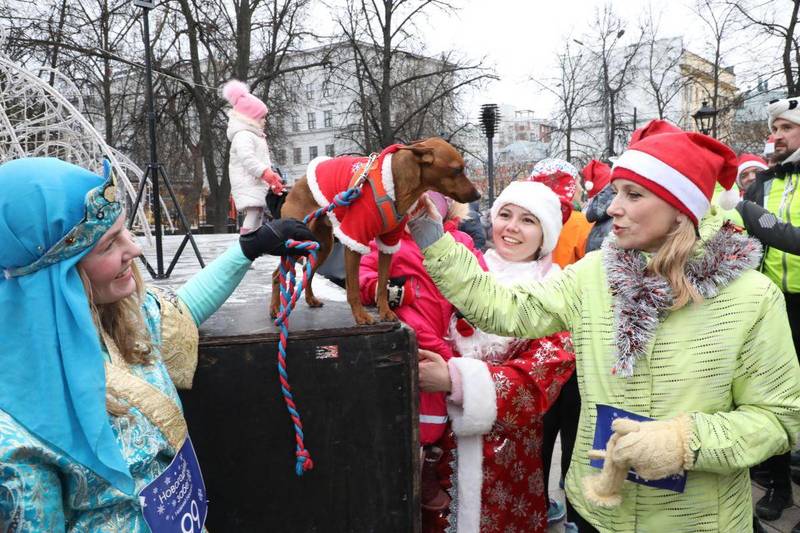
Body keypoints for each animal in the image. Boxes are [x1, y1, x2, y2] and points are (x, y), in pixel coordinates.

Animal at [272, 137, 478, 324]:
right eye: (457, 170)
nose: (478, 195)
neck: (396, 182)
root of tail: (293, 186)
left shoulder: (388, 244)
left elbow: (382, 284)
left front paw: (385, 312)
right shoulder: (354, 241)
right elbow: (354, 288)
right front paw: (361, 316)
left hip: (322, 247)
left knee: (307, 270)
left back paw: (309, 300)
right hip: (297, 242)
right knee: (277, 274)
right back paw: (275, 309)